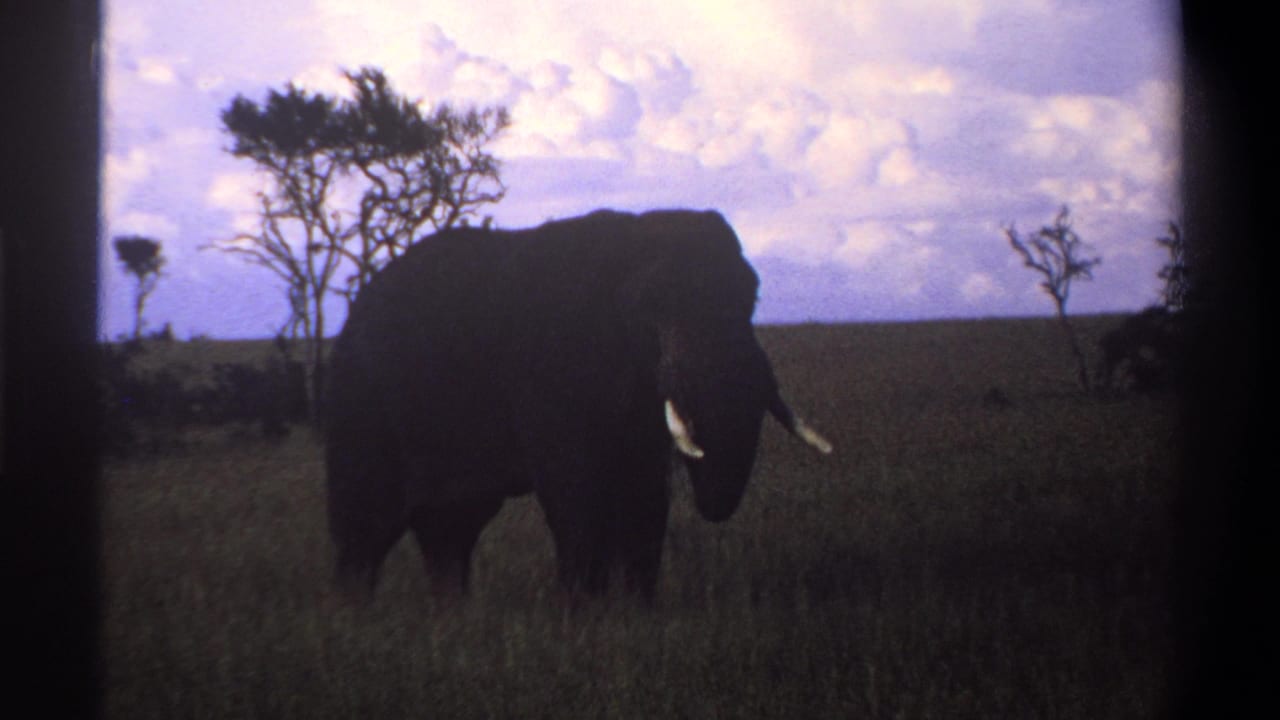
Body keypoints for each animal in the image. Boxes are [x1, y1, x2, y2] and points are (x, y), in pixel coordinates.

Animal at [324, 208, 831, 602]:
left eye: (752, 296)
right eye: (654, 307)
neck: (631, 244)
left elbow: (646, 493)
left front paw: (636, 614)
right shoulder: (553, 370)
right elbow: (576, 489)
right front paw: (583, 618)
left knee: (450, 528)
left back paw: (452, 616)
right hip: (360, 402)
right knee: (367, 525)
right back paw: (356, 620)